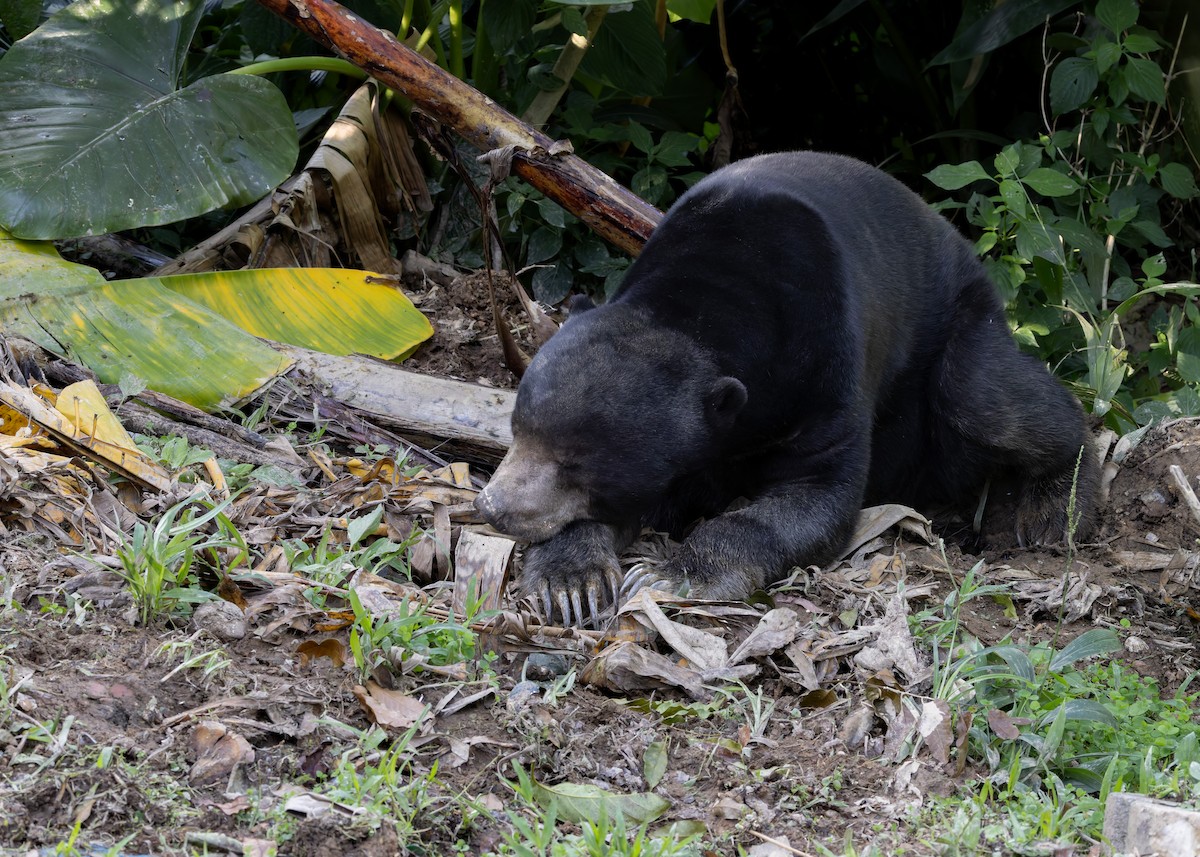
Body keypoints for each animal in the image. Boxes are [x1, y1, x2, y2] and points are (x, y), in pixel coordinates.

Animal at [474, 151, 1098, 627]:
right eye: (517, 429)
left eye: (576, 465)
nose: (492, 506)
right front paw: (571, 582)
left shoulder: (826, 371)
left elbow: (816, 494)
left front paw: (668, 572)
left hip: (958, 323)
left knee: (984, 399)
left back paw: (1057, 506)